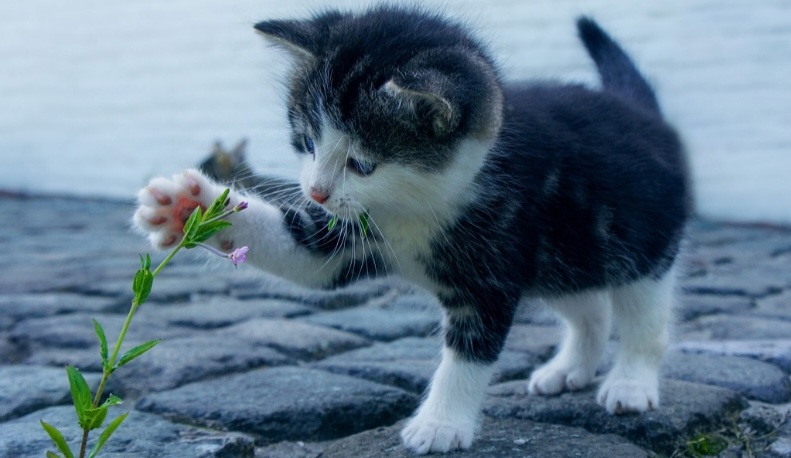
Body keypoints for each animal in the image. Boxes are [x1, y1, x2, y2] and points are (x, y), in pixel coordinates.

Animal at [133, 7, 688, 454]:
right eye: (307, 141)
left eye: (362, 164)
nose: (315, 191)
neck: (415, 206)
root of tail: (643, 113)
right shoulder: (349, 235)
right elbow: (305, 255)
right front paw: (188, 207)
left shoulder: (494, 262)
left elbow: (469, 351)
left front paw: (441, 424)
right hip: (564, 256)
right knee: (588, 306)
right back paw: (570, 368)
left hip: (640, 243)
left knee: (643, 317)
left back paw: (630, 383)